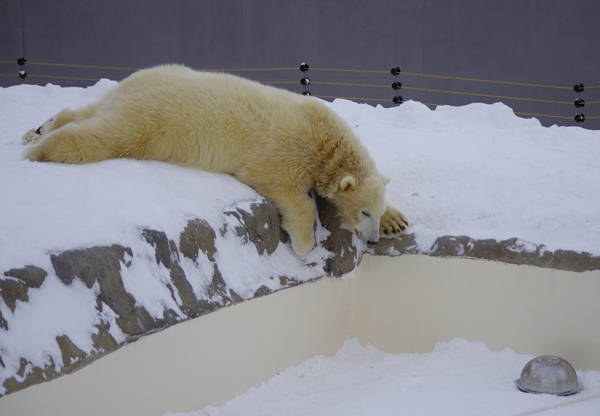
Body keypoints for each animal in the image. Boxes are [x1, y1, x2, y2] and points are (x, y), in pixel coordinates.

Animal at [22, 64, 408, 255]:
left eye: (375, 211)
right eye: (364, 212)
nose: (372, 241)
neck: (325, 142)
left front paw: (397, 220)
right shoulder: (281, 154)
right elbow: (291, 195)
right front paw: (304, 244)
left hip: (138, 87)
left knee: (88, 110)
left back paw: (40, 128)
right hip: (149, 122)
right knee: (103, 137)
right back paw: (38, 149)